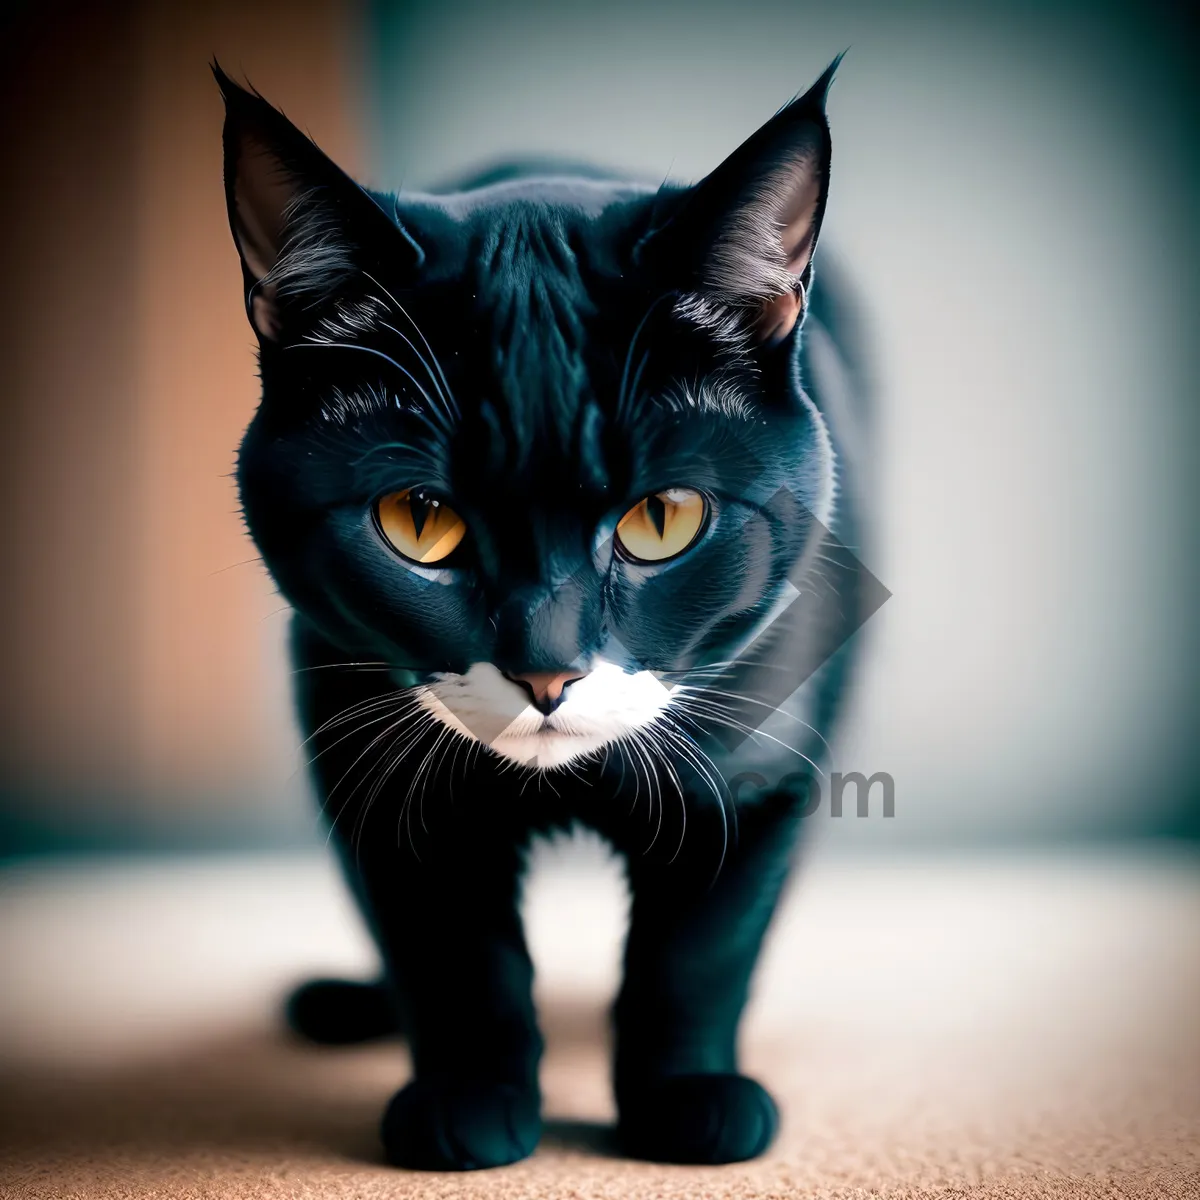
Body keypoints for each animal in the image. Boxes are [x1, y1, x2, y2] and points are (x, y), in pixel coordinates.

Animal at [218, 58, 873, 1171]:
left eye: (663, 518)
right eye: (419, 520)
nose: (547, 669)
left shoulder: (762, 759)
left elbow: (699, 949)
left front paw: (689, 1098)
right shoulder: (359, 738)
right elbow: (449, 949)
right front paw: (469, 1100)